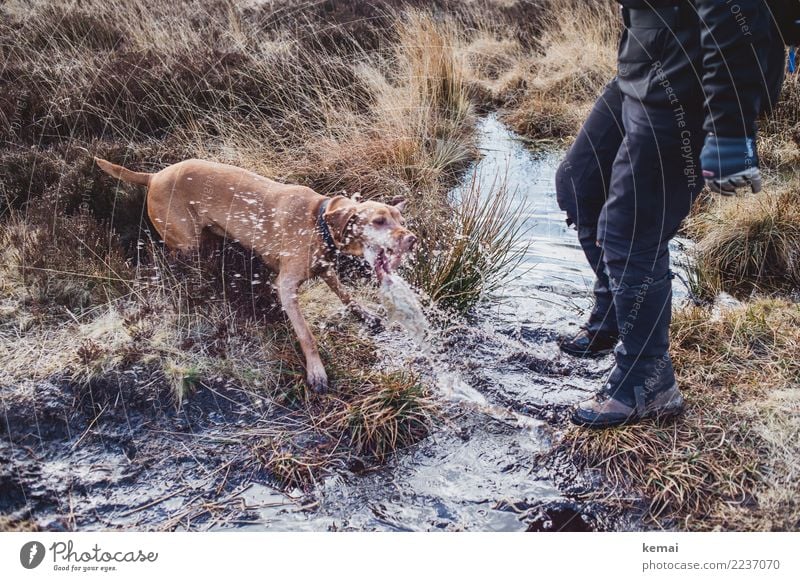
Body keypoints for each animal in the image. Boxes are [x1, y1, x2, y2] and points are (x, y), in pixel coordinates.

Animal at [96, 157, 416, 390]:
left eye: (401, 219)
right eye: (378, 221)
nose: (412, 238)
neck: (318, 223)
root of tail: (153, 176)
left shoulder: (325, 269)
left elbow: (345, 294)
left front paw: (365, 314)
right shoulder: (286, 287)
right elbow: (307, 336)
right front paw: (317, 371)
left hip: (207, 241)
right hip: (187, 244)